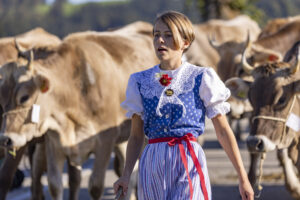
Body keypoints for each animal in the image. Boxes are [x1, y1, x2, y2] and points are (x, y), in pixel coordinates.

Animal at [0, 21, 159, 199]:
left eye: (24, 97)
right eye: (2, 98)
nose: (6, 139)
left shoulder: (105, 140)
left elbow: (96, 186)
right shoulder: (55, 143)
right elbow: (55, 185)